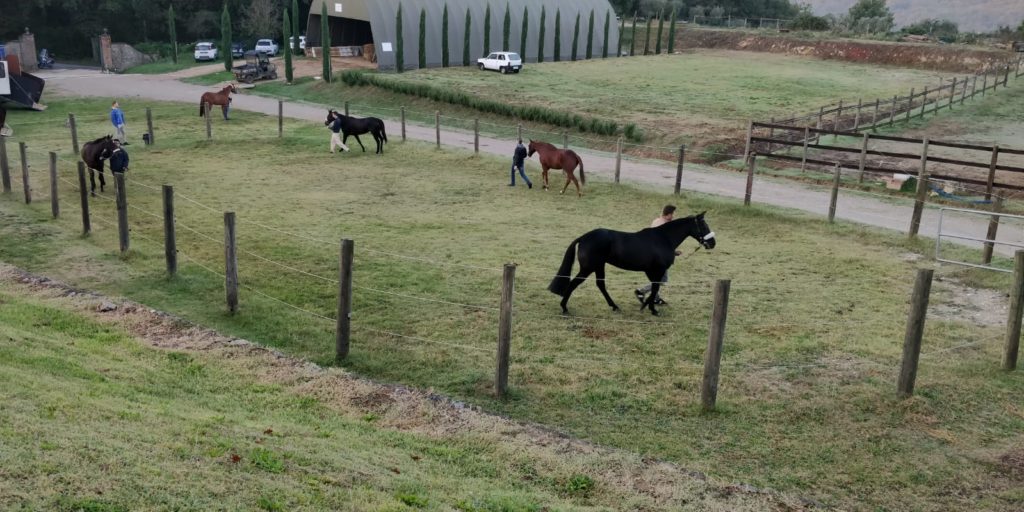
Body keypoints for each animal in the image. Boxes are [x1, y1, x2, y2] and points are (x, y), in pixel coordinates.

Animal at [548, 209, 716, 313]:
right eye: (703, 225)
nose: (712, 243)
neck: (663, 239)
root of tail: (584, 237)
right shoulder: (657, 270)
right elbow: (655, 287)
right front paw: (651, 308)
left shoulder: (652, 271)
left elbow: (654, 287)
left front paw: (646, 303)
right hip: (588, 267)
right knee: (574, 283)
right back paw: (564, 307)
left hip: (599, 266)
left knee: (600, 284)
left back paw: (614, 306)